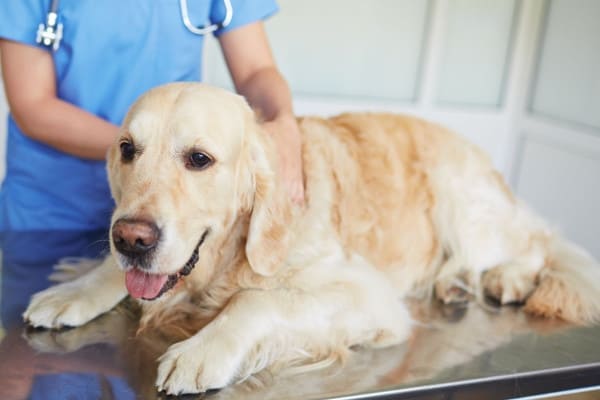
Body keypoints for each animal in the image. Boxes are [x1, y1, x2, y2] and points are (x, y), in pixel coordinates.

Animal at [23, 83, 600, 396]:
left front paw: (201, 349)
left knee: (537, 244)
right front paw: (73, 289)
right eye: (127, 149)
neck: (226, 259)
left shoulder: (366, 294)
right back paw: (456, 283)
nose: (132, 238)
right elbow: (112, 278)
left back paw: (504, 278)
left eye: (199, 159)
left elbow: (258, 302)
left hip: (461, 198)